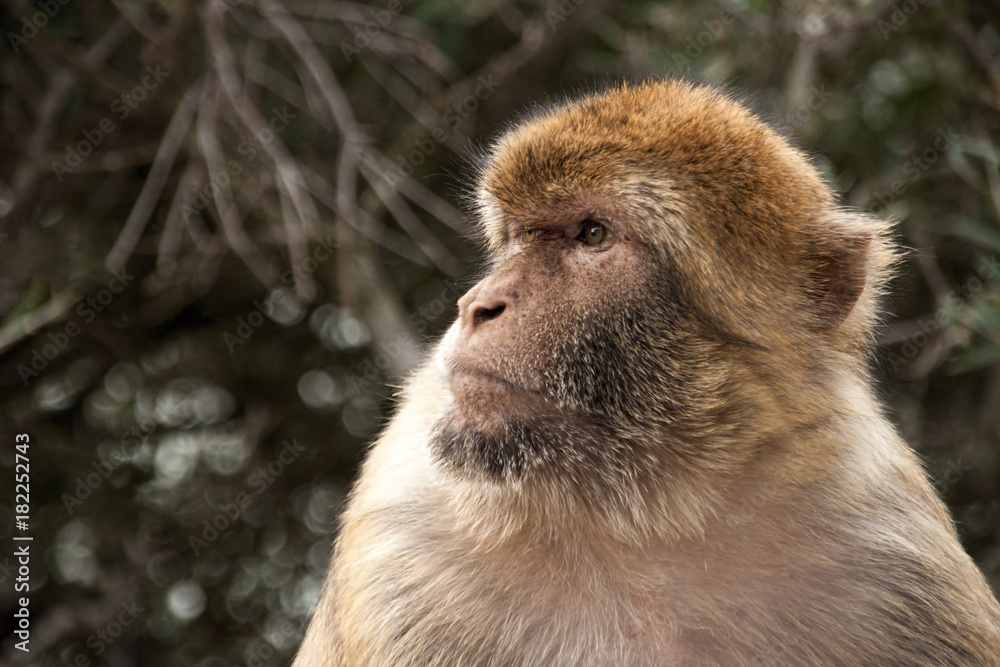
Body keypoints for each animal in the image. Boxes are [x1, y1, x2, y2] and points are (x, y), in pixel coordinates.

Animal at [293, 79, 1000, 666]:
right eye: (519, 236)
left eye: (592, 233)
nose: (477, 306)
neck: (645, 520)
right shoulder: (402, 555)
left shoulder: (890, 554)